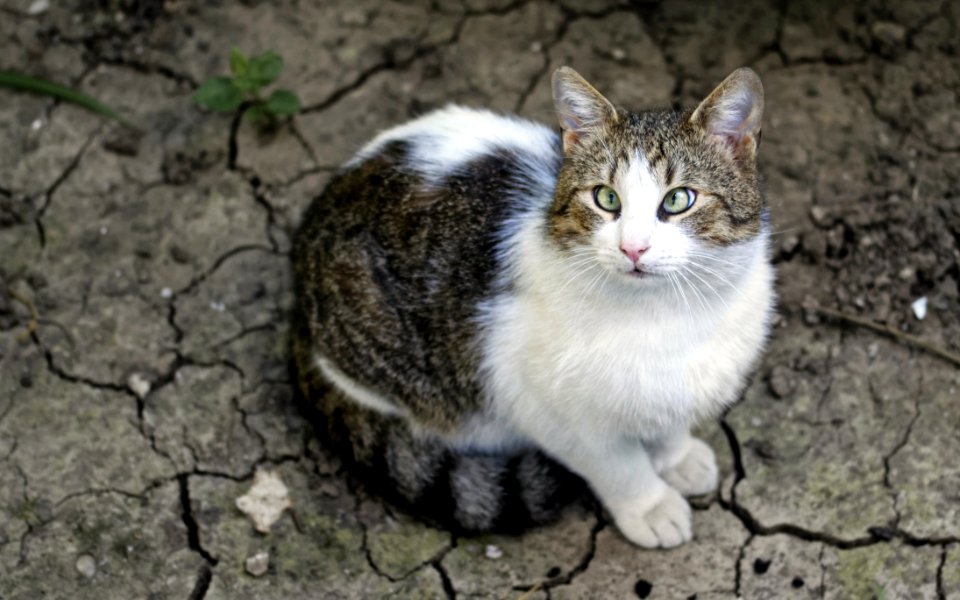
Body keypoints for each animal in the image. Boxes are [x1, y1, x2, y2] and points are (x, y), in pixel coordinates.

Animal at [290, 65, 772, 548]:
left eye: (678, 199)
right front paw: (650, 506)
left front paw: (677, 456)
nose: (633, 248)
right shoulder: (541, 404)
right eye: (606, 198)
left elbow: (668, 420)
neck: (669, 313)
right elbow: (617, 465)